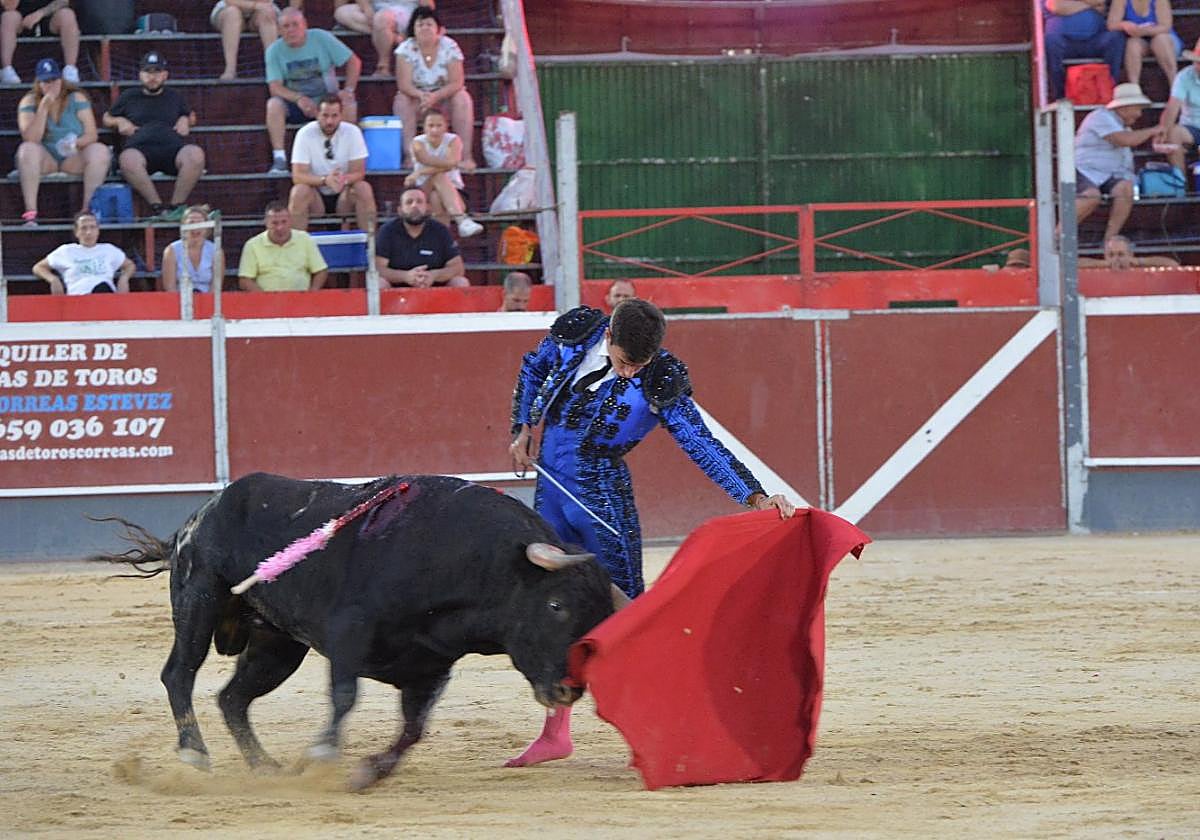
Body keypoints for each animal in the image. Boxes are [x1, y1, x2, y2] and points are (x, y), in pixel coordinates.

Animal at [91, 471, 623, 790]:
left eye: (596, 619)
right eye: (555, 605)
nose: (568, 690)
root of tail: (198, 517)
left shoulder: (430, 665)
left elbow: (412, 729)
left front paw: (367, 773)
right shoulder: (349, 632)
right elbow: (346, 696)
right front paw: (324, 754)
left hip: (277, 645)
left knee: (233, 698)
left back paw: (265, 767)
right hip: (200, 599)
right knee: (180, 673)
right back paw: (194, 753)